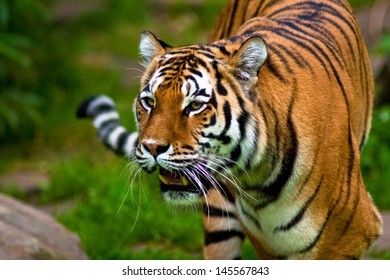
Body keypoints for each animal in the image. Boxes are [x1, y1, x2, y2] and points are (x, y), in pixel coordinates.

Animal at [77, 0, 382, 260]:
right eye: (149, 102)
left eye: (195, 106)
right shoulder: (267, 243)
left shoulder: (346, 237)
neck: (259, 181)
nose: (151, 147)